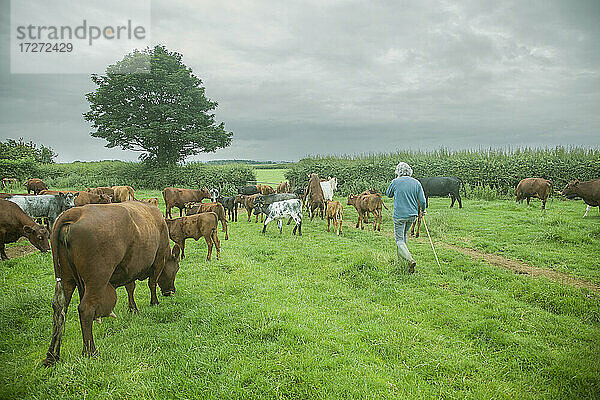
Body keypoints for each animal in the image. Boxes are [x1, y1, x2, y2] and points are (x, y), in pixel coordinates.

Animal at [42, 203, 180, 366]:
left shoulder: (130, 267)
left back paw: (52, 355)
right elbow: (152, 283)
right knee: (85, 309)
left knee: (59, 310)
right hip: (97, 279)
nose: (171, 291)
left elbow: (130, 287)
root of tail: (75, 212)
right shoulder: (159, 260)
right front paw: (154, 302)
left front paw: (133, 308)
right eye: (176, 269)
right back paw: (90, 351)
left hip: (66, 279)